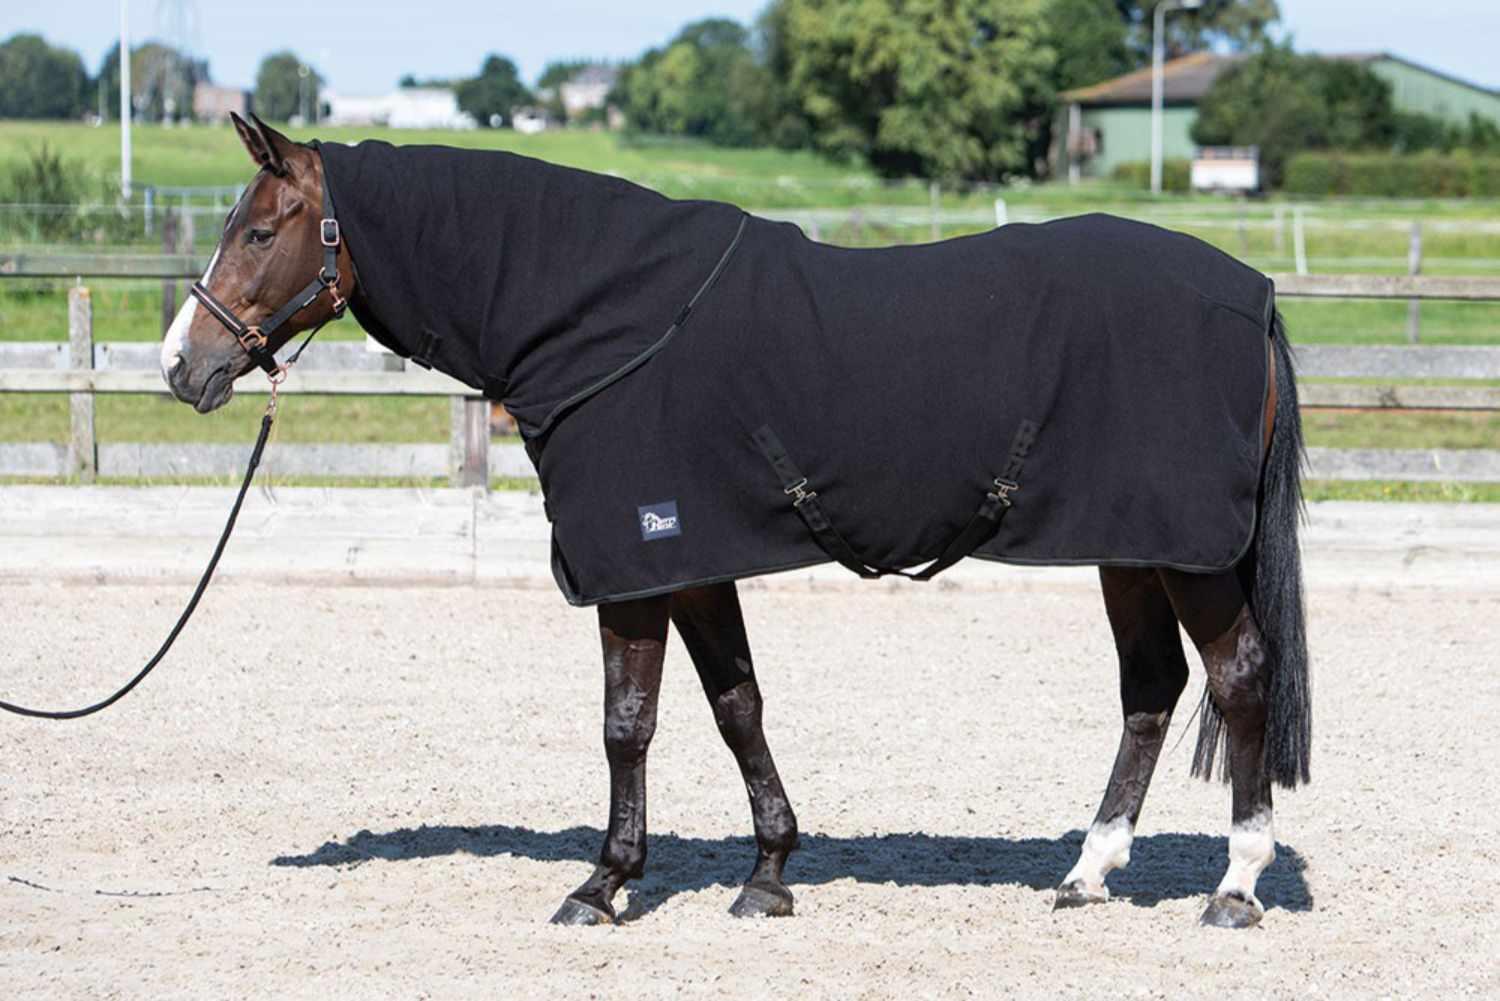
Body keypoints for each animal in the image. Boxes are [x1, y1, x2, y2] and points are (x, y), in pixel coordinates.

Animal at [160, 113, 1310, 929]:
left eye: (258, 230)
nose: (181, 364)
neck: (604, 315)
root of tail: (1250, 295)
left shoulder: (635, 567)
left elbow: (628, 722)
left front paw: (603, 883)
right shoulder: (695, 561)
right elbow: (736, 705)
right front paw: (766, 874)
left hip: (1185, 556)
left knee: (1240, 676)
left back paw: (1235, 883)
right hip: (1133, 546)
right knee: (1151, 689)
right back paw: (1086, 871)